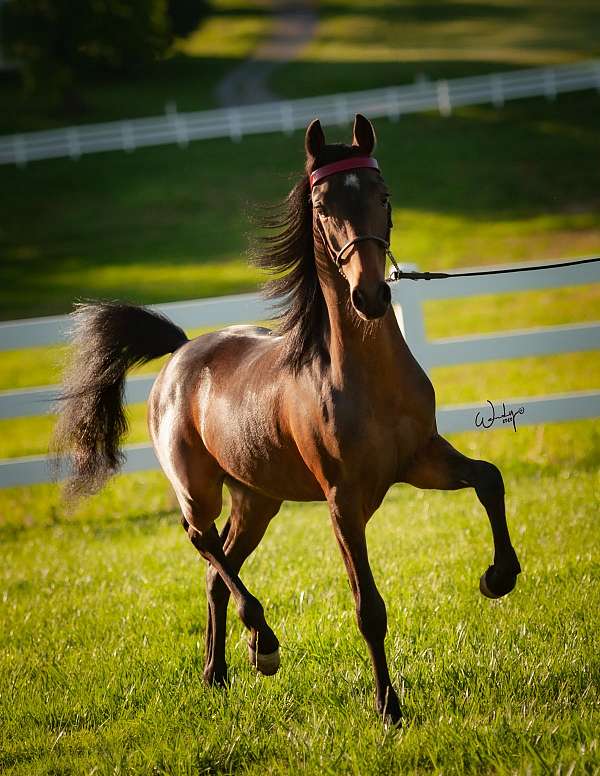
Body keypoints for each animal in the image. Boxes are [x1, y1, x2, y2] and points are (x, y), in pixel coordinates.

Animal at [52, 115, 520, 728]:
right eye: (322, 205)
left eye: (383, 194)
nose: (371, 295)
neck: (364, 380)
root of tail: (180, 353)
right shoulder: (343, 500)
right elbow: (369, 607)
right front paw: (389, 709)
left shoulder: (421, 460)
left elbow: (489, 477)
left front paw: (498, 577)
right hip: (199, 488)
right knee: (202, 540)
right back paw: (263, 644)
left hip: (257, 499)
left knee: (216, 569)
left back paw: (218, 674)